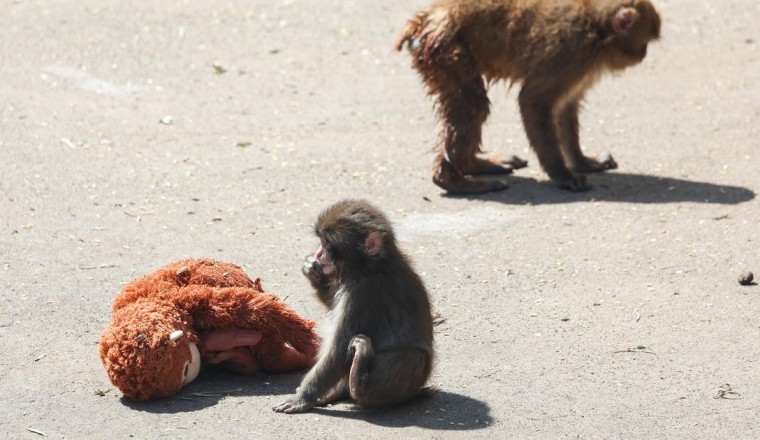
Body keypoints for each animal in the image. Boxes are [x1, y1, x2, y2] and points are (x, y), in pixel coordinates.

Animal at [273, 199, 435, 413]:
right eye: (321, 241)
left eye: (327, 243)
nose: (318, 253)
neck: (370, 267)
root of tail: (416, 391)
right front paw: (314, 274)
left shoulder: (363, 294)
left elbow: (340, 349)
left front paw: (303, 398)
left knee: (411, 356)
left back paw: (358, 383)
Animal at [395, 0, 661, 194]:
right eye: (645, 42)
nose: (643, 55)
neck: (596, 27)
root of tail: (426, 17)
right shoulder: (570, 52)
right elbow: (533, 100)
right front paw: (562, 174)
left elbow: (566, 106)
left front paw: (582, 161)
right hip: (445, 47)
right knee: (473, 103)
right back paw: (453, 180)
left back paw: (473, 165)